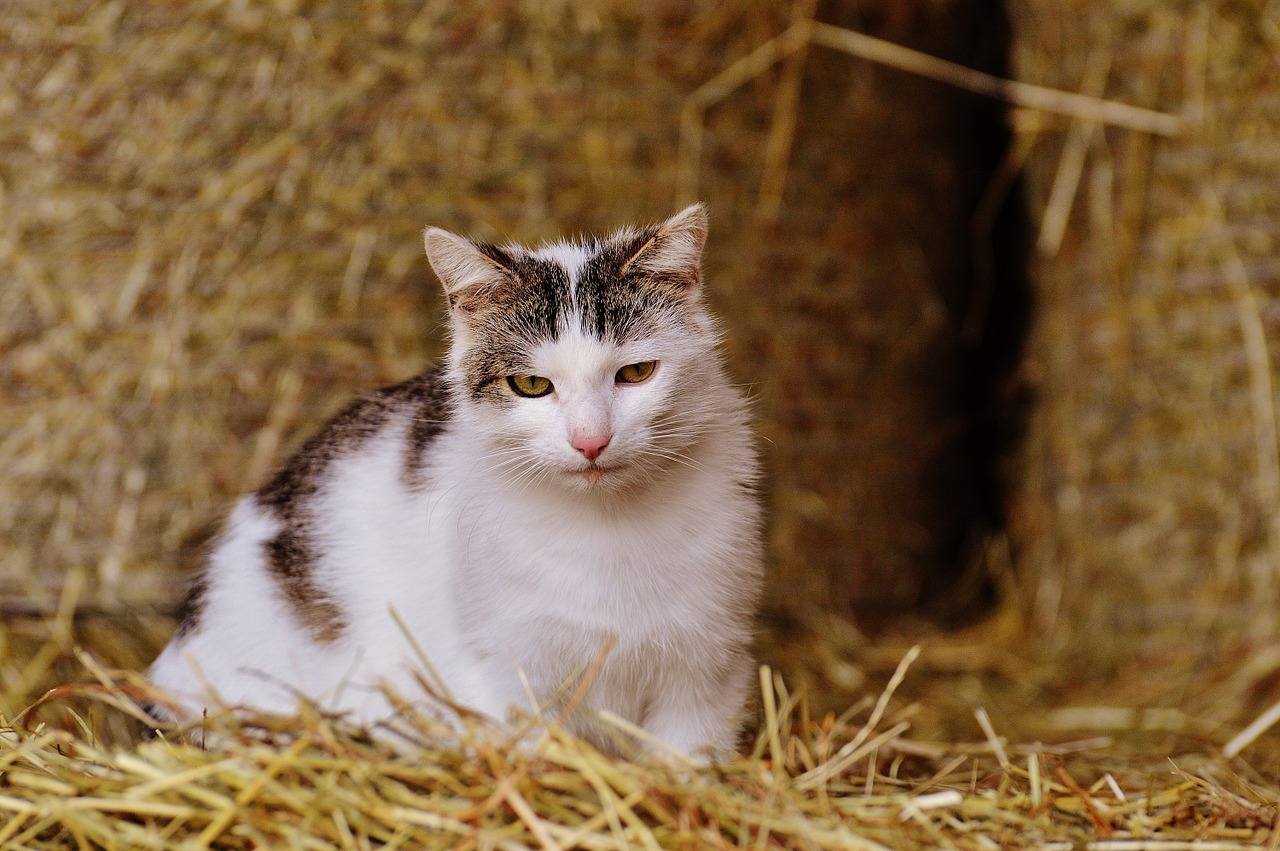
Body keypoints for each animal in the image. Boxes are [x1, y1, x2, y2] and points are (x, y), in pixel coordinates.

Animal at [152, 202, 768, 757]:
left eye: (636, 372)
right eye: (530, 384)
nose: (590, 441)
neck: (607, 526)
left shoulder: (707, 671)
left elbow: (684, 761)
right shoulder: (501, 674)